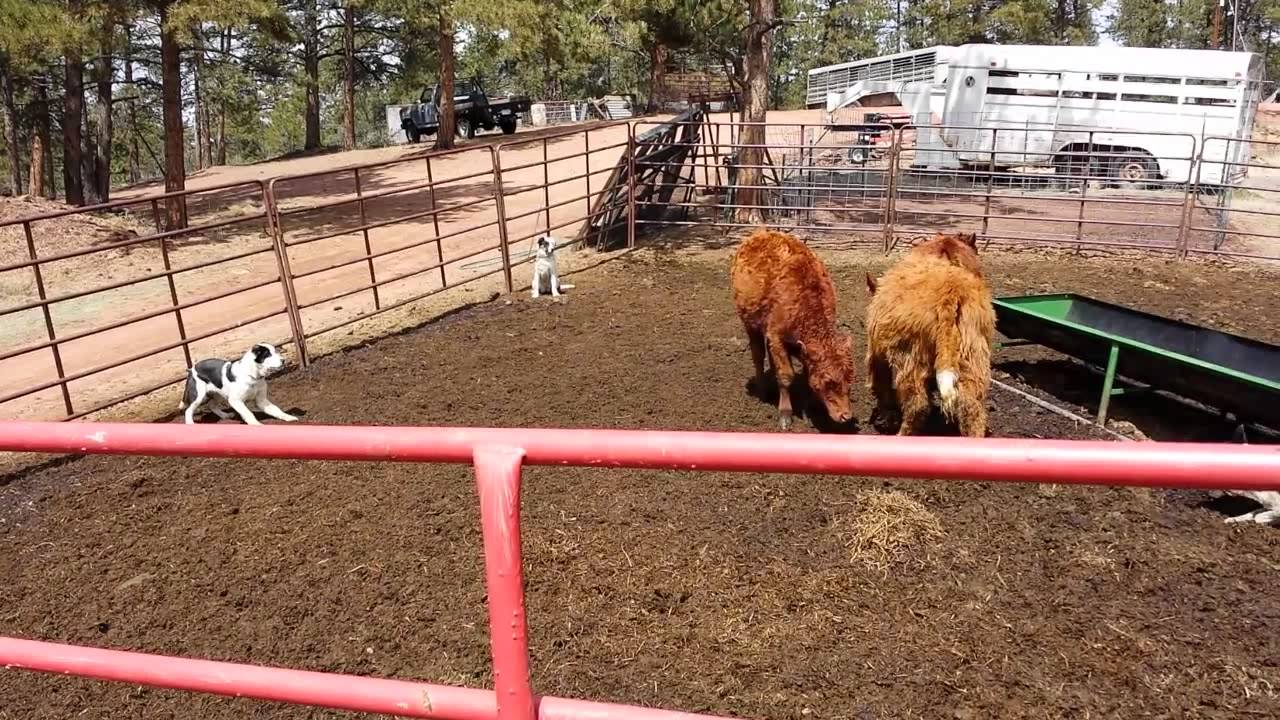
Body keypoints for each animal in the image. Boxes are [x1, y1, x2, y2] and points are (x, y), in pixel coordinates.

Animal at [737, 228, 855, 425]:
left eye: (849, 380)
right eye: (828, 382)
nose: (845, 416)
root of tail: (761, 232)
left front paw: (810, 411)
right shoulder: (777, 337)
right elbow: (786, 376)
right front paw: (785, 413)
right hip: (750, 324)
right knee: (758, 355)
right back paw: (763, 390)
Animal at [865, 234, 993, 438]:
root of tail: (950, 293)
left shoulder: (876, 355)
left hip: (909, 359)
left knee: (917, 406)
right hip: (972, 354)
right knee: (971, 408)